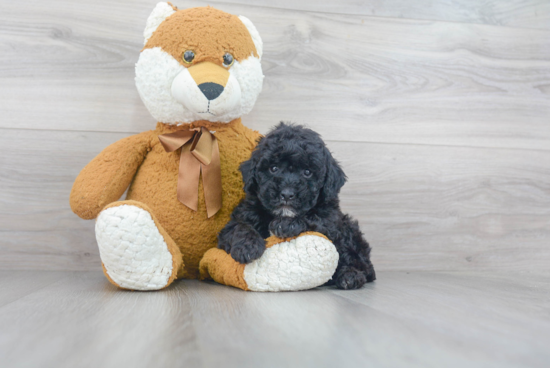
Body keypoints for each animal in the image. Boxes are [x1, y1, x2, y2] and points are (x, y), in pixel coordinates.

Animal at [218, 123, 378, 290]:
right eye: (273, 168)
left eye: (307, 172)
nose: (287, 194)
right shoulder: (238, 219)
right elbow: (238, 227)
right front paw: (248, 247)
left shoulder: (330, 220)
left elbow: (313, 219)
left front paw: (286, 224)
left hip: (349, 231)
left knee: (360, 264)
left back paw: (350, 276)